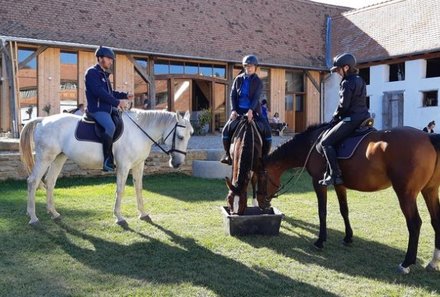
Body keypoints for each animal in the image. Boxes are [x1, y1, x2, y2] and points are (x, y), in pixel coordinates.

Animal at [19, 108, 193, 224]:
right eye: (180, 136)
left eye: (190, 135)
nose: (177, 163)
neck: (138, 132)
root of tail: (42, 120)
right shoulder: (124, 166)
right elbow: (120, 190)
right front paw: (119, 216)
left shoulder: (138, 165)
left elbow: (138, 188)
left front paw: (143, 213)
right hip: (45, 158)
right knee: (33, 182)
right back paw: (33, 216)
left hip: (58, 158)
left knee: (50, 182)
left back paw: (53, 213)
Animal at [256, 122, 440, 272]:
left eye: (260, 178)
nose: (261, 203)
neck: (312, 144)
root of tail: (428, 136)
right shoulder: (339, 185)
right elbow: (344, 210)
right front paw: (348, 237)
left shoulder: (319, 183)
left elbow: (322, 212)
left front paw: (320, 241)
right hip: (429, 190)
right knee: (435, 221)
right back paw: (433, 262)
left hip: (405, 194)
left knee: (414, 224)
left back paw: (406, 263)